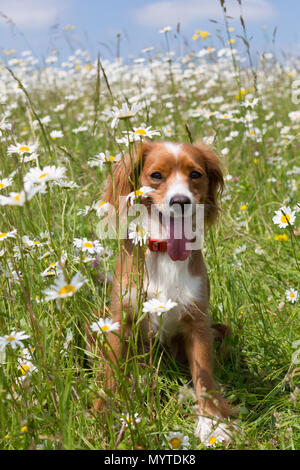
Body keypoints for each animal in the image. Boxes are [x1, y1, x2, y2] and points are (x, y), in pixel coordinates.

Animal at [95, 140, 236, 444]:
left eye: (195, 174)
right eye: (156, 176)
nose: (180, 201)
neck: (164, 252)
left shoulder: (198, 322)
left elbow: (204, 376)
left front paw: (212, 423)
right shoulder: (120, 319)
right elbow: (112, 369)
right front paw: (105, 412)